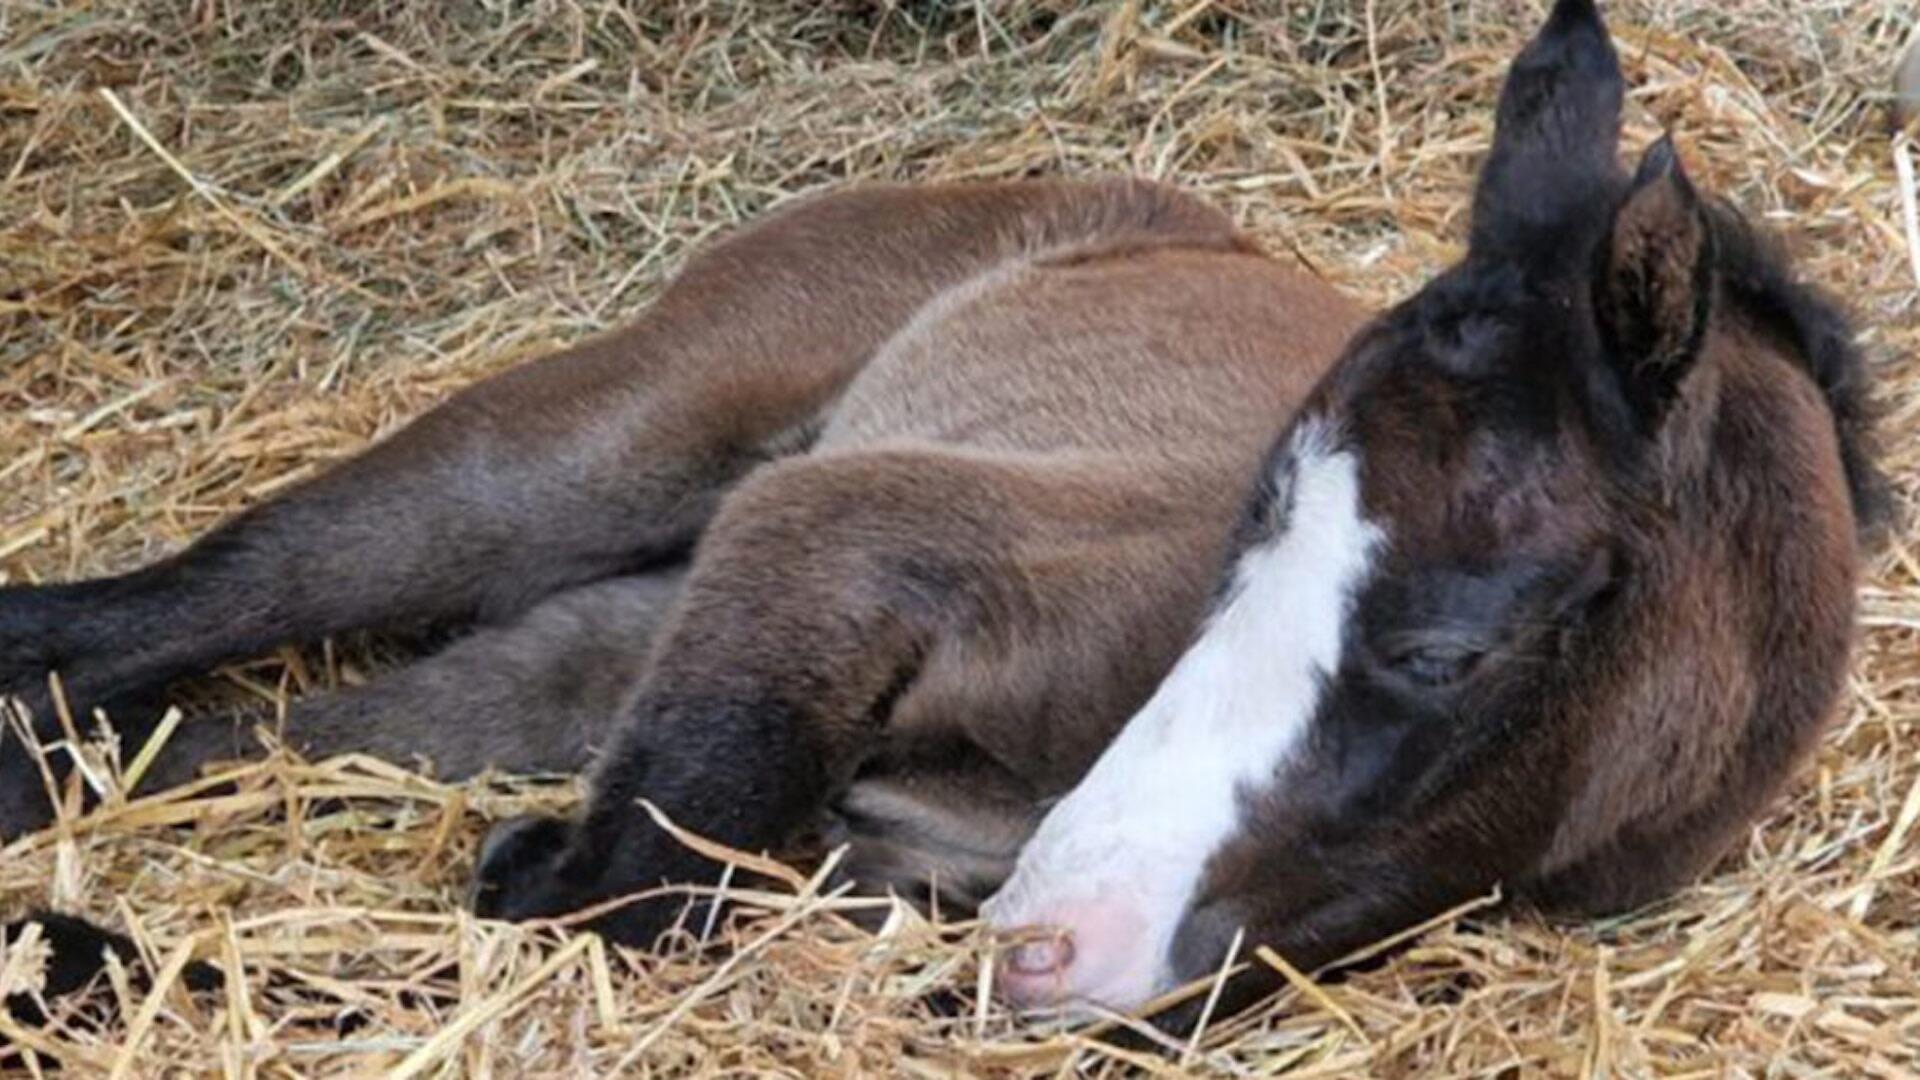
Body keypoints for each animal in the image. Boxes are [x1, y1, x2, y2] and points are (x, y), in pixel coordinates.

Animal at [0, 0, 1884, 1025]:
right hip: (593, 458)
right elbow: (600, 904)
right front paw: (59, 959)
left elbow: (587, 923)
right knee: (176, 606)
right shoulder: (843, 536)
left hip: (601, 634)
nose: (1056, 935)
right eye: (1241, 542)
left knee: (248, 731)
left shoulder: (853, 857)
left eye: (1445, 649)